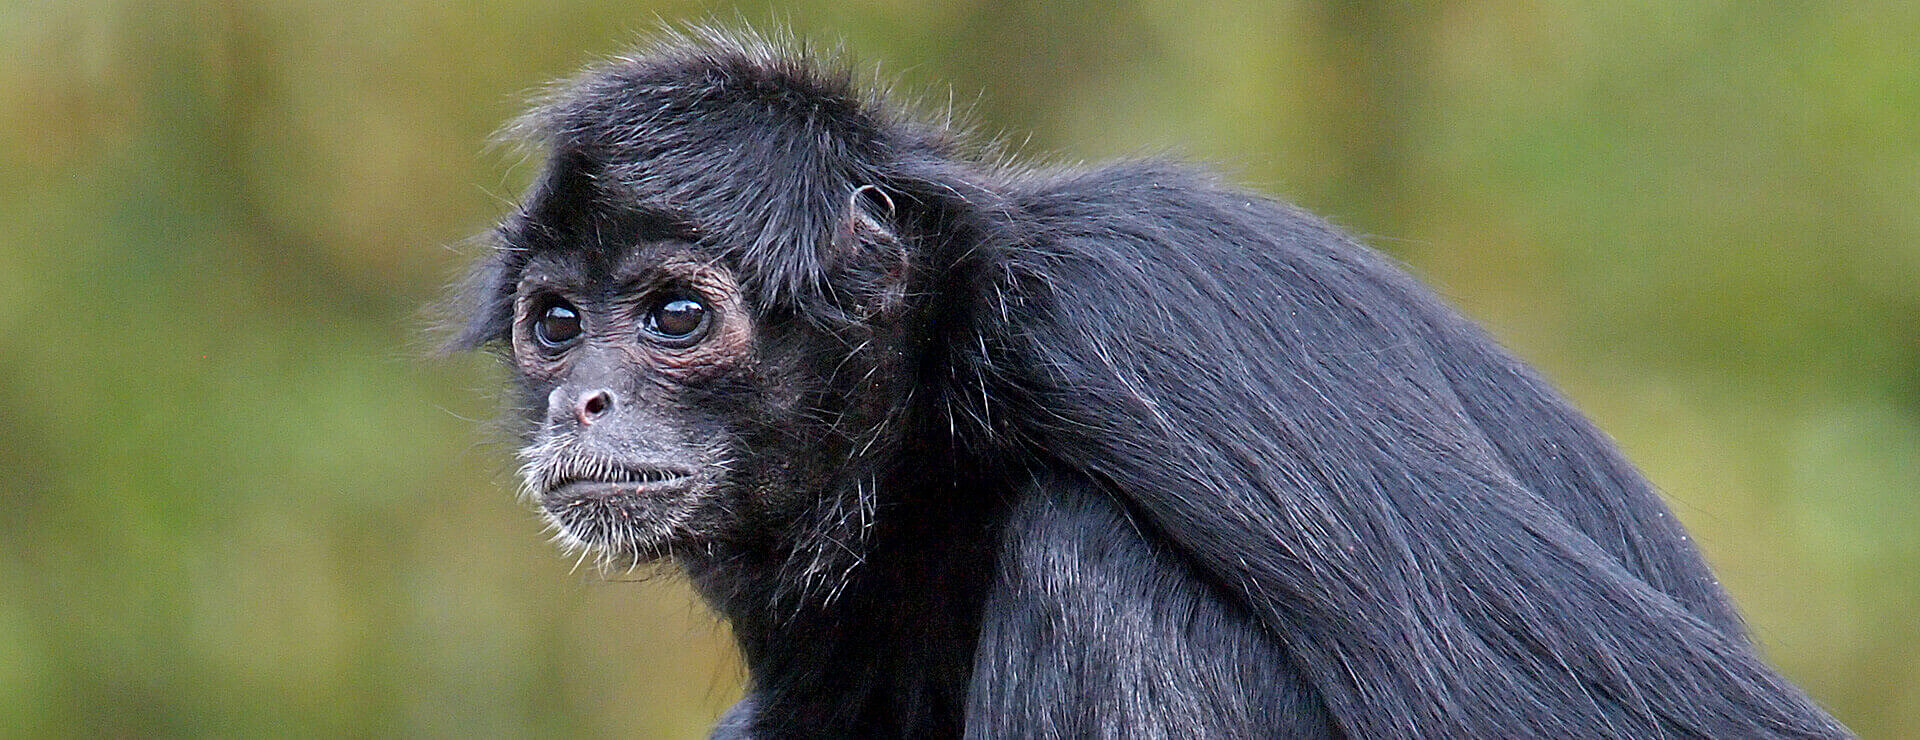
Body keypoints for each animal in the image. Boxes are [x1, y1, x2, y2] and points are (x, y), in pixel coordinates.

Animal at [452, 29, 1848, 739]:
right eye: (557, 325)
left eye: (676, 314)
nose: (583, 399)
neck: (950, 382)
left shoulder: (1142, 317)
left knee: (1091, 561)